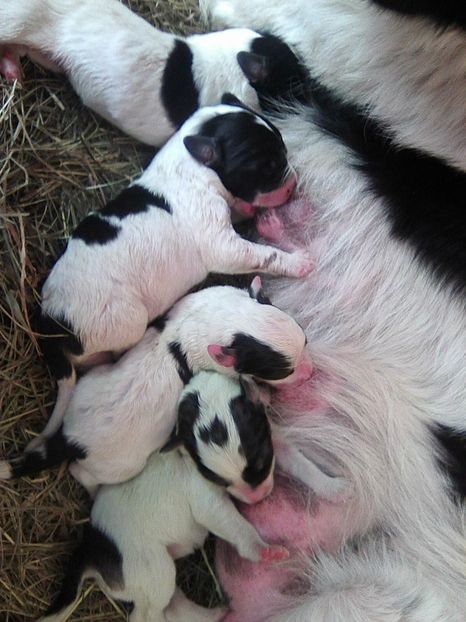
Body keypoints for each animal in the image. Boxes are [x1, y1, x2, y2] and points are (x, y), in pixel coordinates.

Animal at [0, 286, 316, 500]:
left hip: (91, 380)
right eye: (283, 372)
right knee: (81, 472)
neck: (216, 319)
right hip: (119, 465)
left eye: (306, 339)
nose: (311, 371)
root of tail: (69, 439)